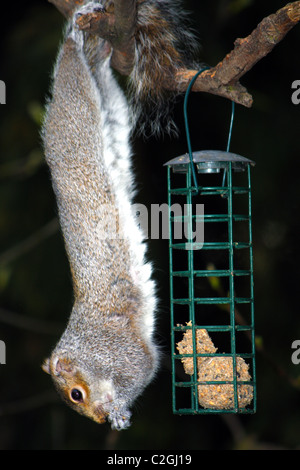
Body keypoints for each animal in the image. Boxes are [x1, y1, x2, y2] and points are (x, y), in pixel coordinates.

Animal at [41, 0, 199, 432]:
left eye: (76, 395)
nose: (96, 420)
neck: (87, 349)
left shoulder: (118, 350)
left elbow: (145, 367)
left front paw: (117, 411)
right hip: (110, 108)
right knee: (102, 75)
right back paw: (96, 48)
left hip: (76, 113)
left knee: (73, 71)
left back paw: (76, 36)